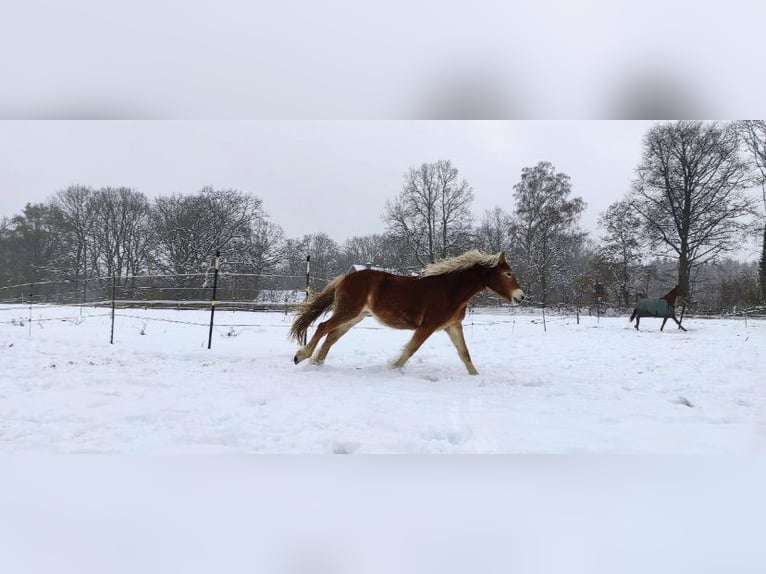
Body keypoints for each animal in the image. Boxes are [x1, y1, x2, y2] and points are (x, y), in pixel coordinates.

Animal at [292, 250, 524, 376]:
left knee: (331, 336)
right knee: (323, 327)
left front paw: (476, 376)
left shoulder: (452, 326)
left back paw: (317, 363)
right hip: (348, 312)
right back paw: (301, 356)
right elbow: (411, 349)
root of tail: (345, 277)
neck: (451, 289)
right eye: (508, 273)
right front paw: (393, 367)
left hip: (354, 317)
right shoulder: (428, 326)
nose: (521, 297)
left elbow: (464, 353)